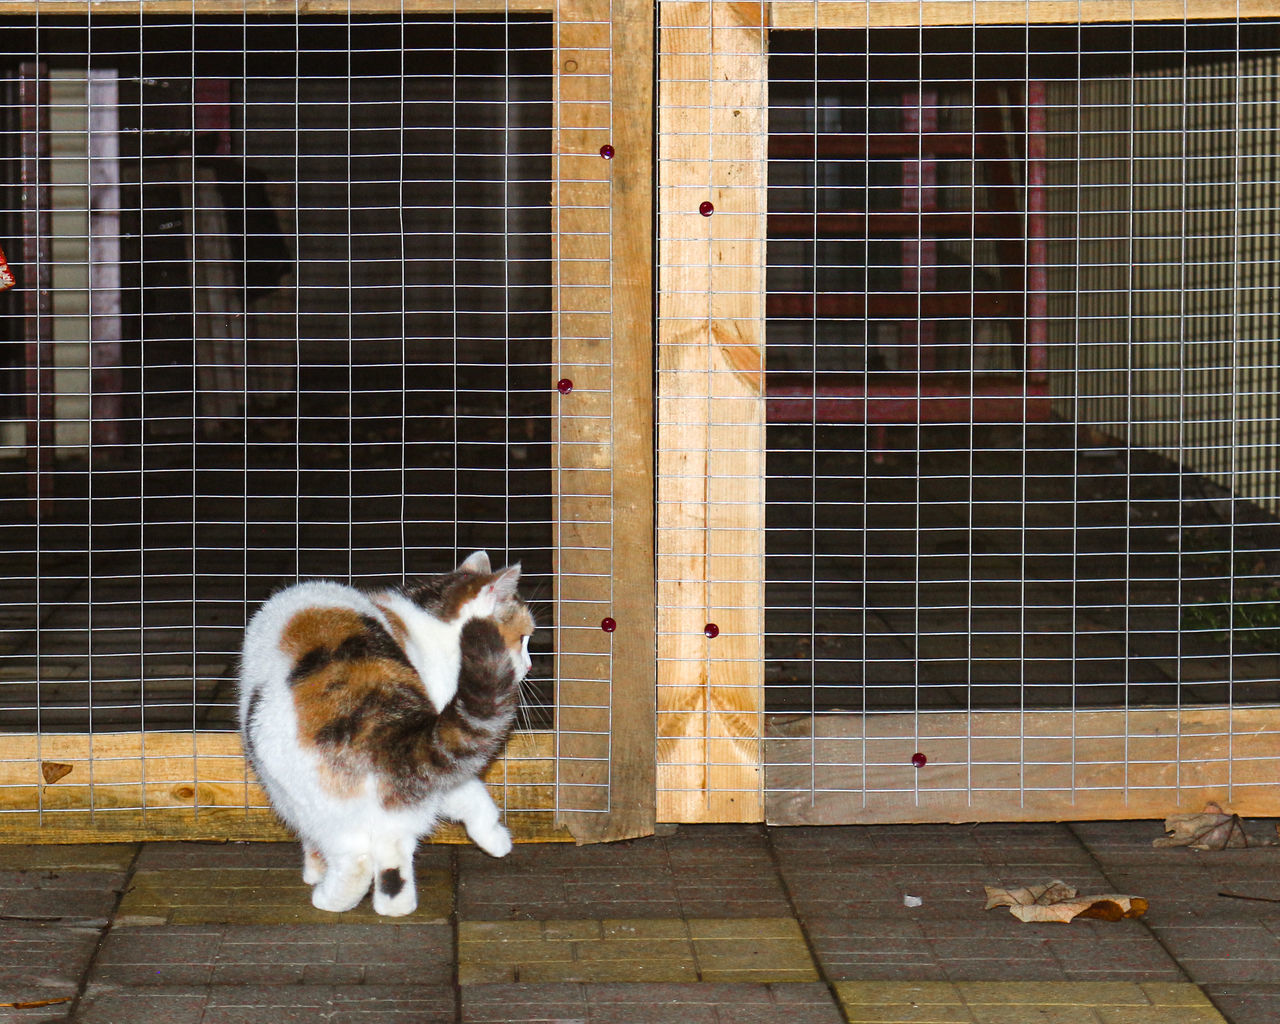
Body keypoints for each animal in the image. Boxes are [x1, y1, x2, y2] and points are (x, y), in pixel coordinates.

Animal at [238, 555, 532, 916]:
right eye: (522, 638)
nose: (529, 665)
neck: (430, 625)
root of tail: (379, 720)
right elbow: (470, 794)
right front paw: (495, 837)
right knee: (376, 859)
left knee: (366, 860)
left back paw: (338, 897)